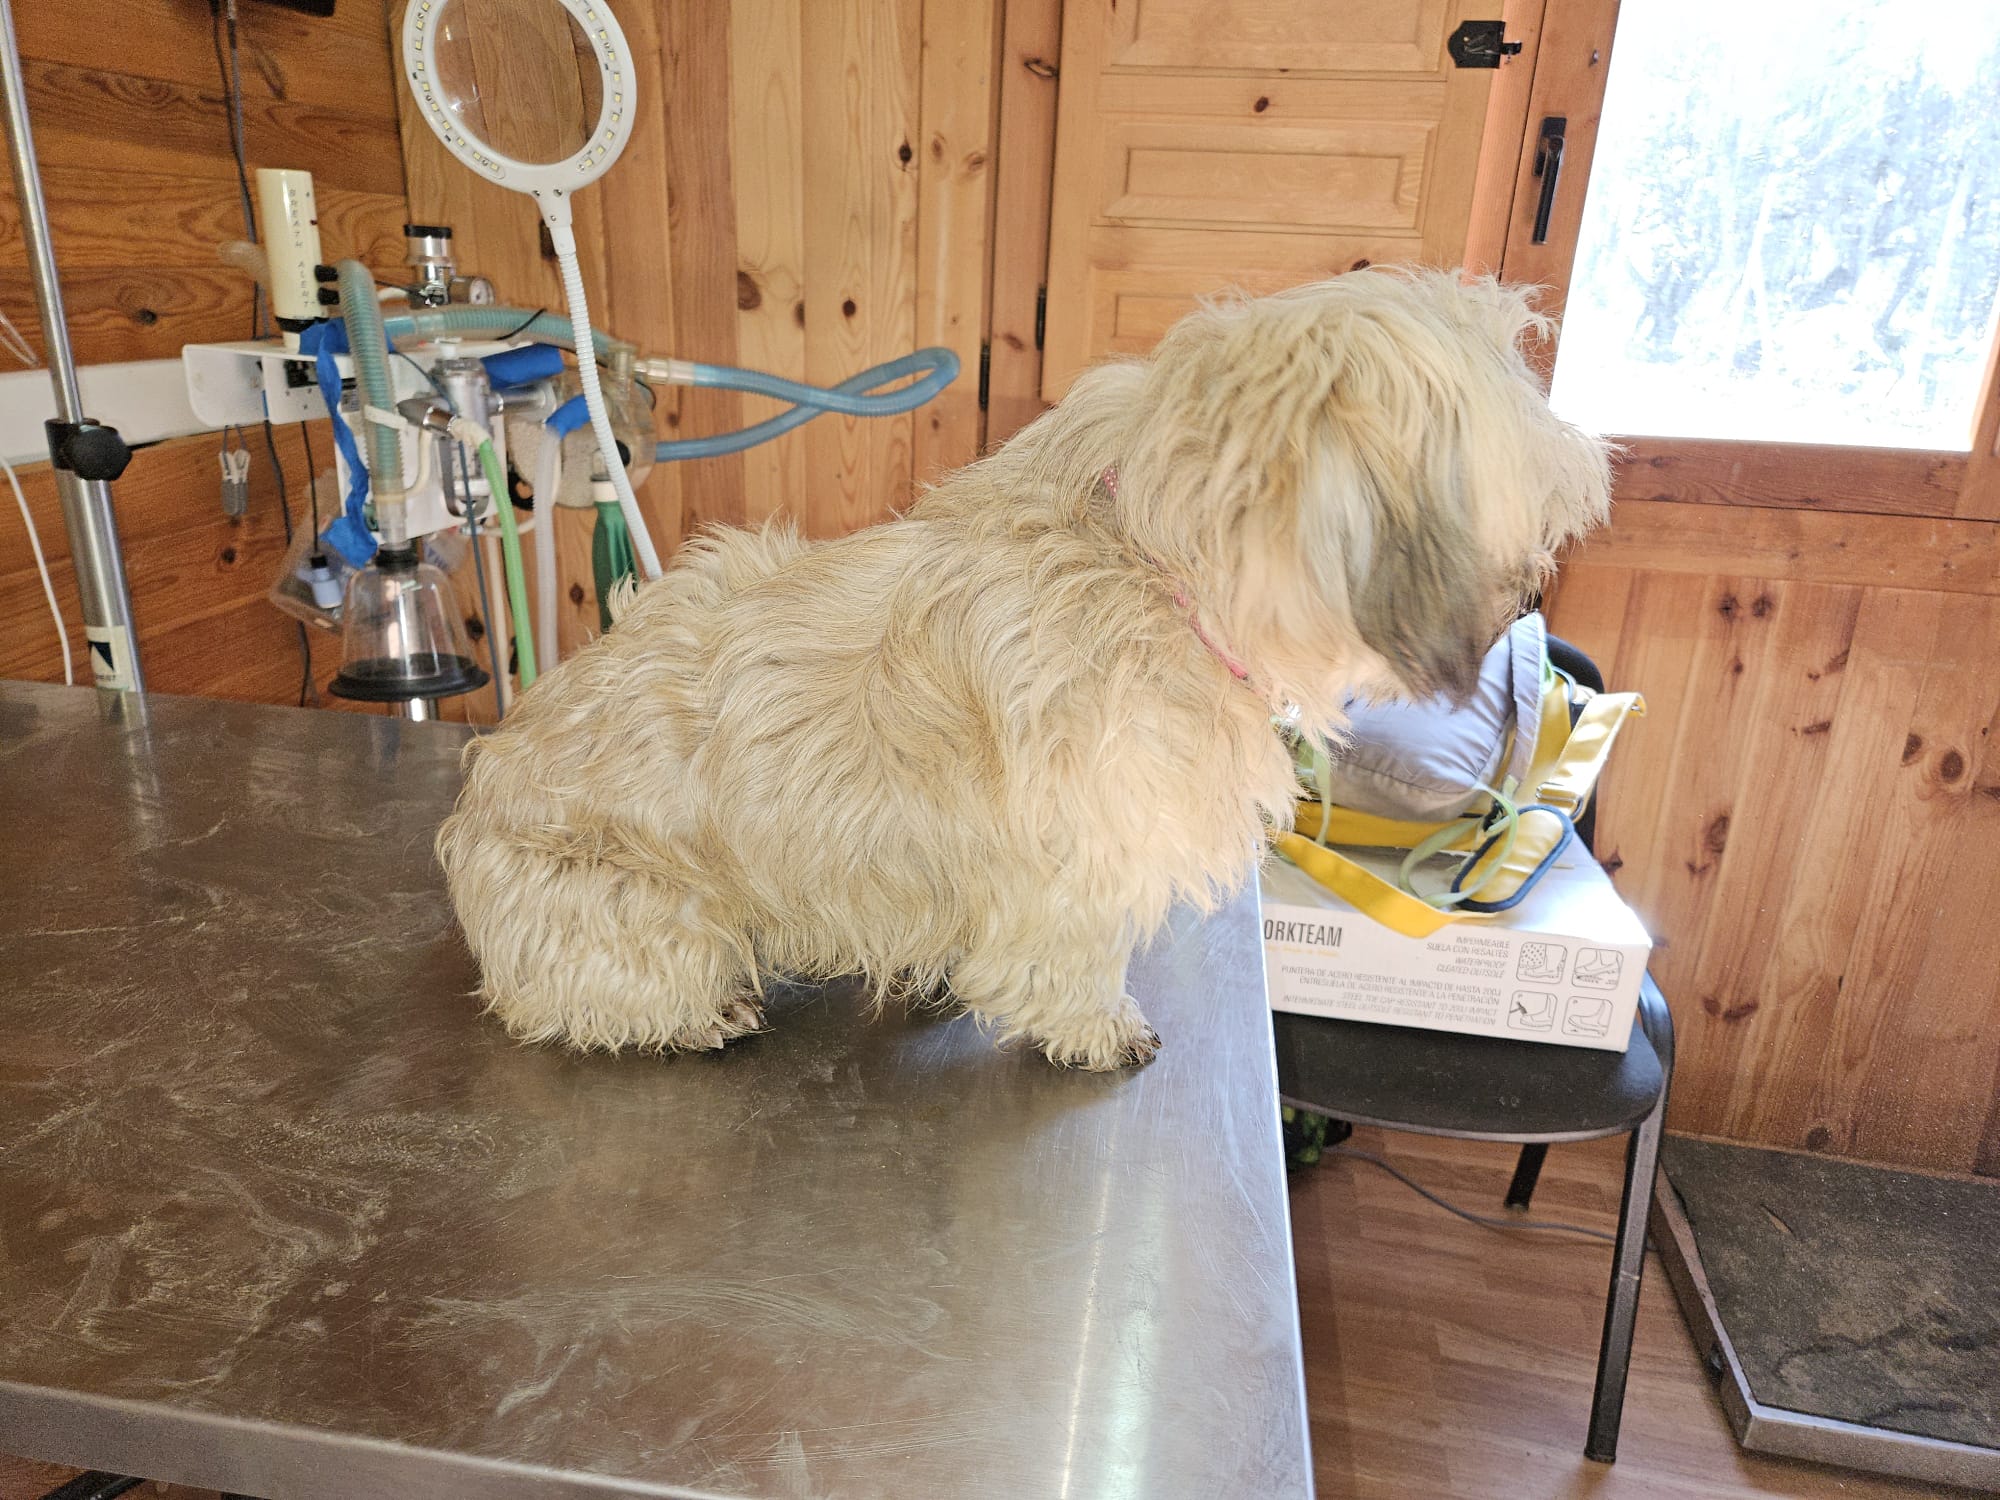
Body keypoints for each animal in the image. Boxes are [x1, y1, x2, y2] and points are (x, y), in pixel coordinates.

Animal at [436, 268, 1611, 1069]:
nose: (1591, 457)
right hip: (641, 916)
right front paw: (1095, 1025)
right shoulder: (1075, 857)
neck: (1153, 565)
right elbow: (1069, 954)